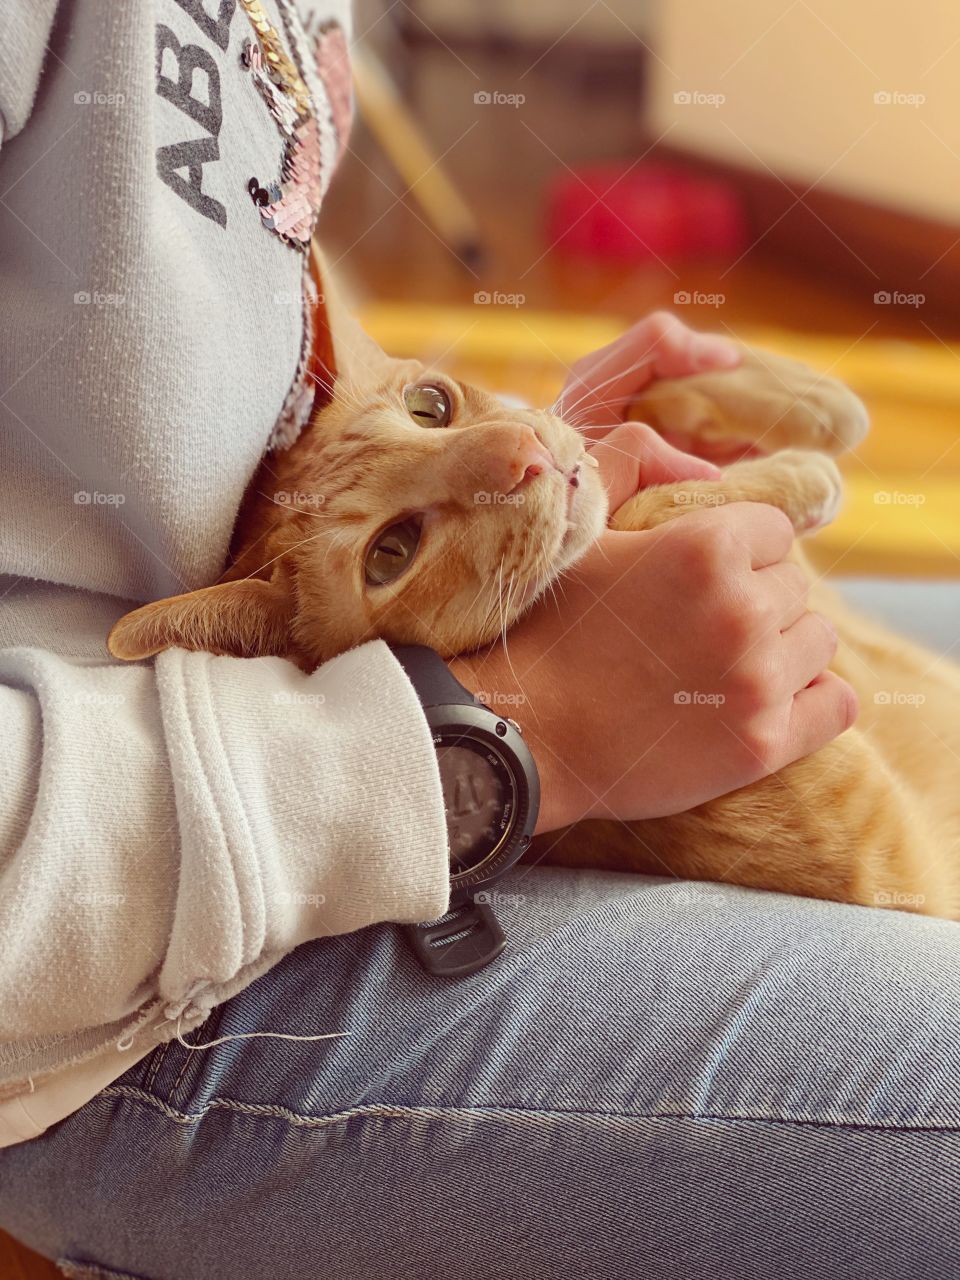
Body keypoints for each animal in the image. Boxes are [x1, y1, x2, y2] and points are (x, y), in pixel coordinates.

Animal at [108, 277, 960, 921]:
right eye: (392, 552)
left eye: (430, 405)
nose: (524, 457)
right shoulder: (885, 858)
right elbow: (657, 508)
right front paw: (793, 475)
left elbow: (644, 418)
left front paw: (811, 399)